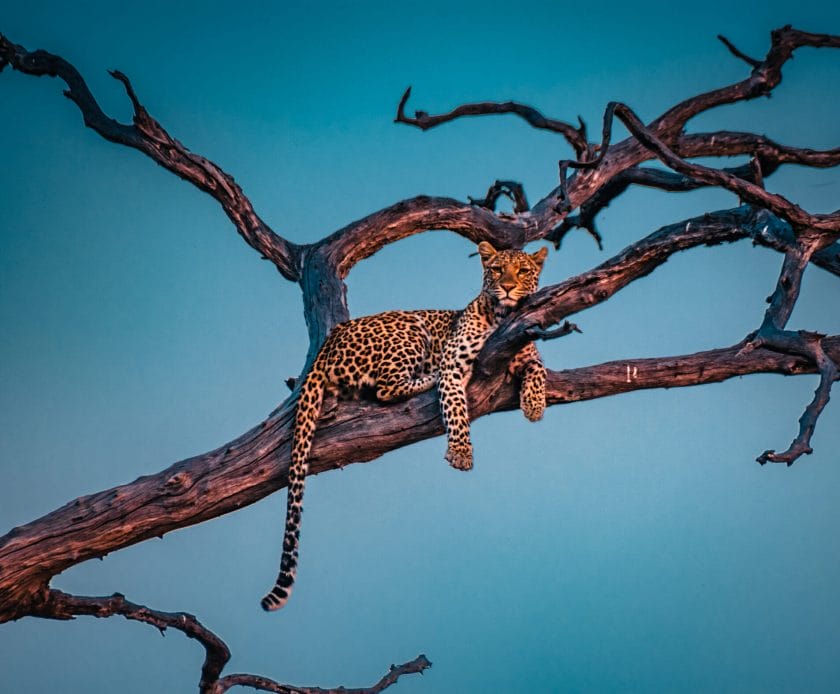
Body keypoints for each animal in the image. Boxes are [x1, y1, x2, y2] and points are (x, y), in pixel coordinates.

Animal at [262, 242, 552, 612]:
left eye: (524, 271)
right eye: (498, 270)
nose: (509, 287)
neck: (502, 317)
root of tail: (329, 341)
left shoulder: (528, 349)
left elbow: (538, 369)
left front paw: (534, 405)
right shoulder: (454, 366)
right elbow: (456, 411)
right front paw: (460, 452)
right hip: (410, 327)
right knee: (386, 388)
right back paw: (426, 377)